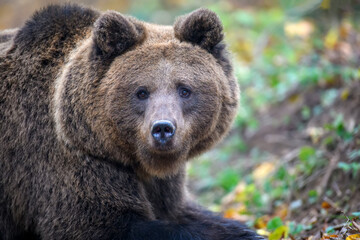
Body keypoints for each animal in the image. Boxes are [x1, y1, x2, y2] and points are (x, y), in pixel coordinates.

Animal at [0, 4, 262, 240]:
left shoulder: (163, 181)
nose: (163, 129)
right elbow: (100, 225)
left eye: (185, 90)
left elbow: (183, 210)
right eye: (141, 92)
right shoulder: (68, 163)